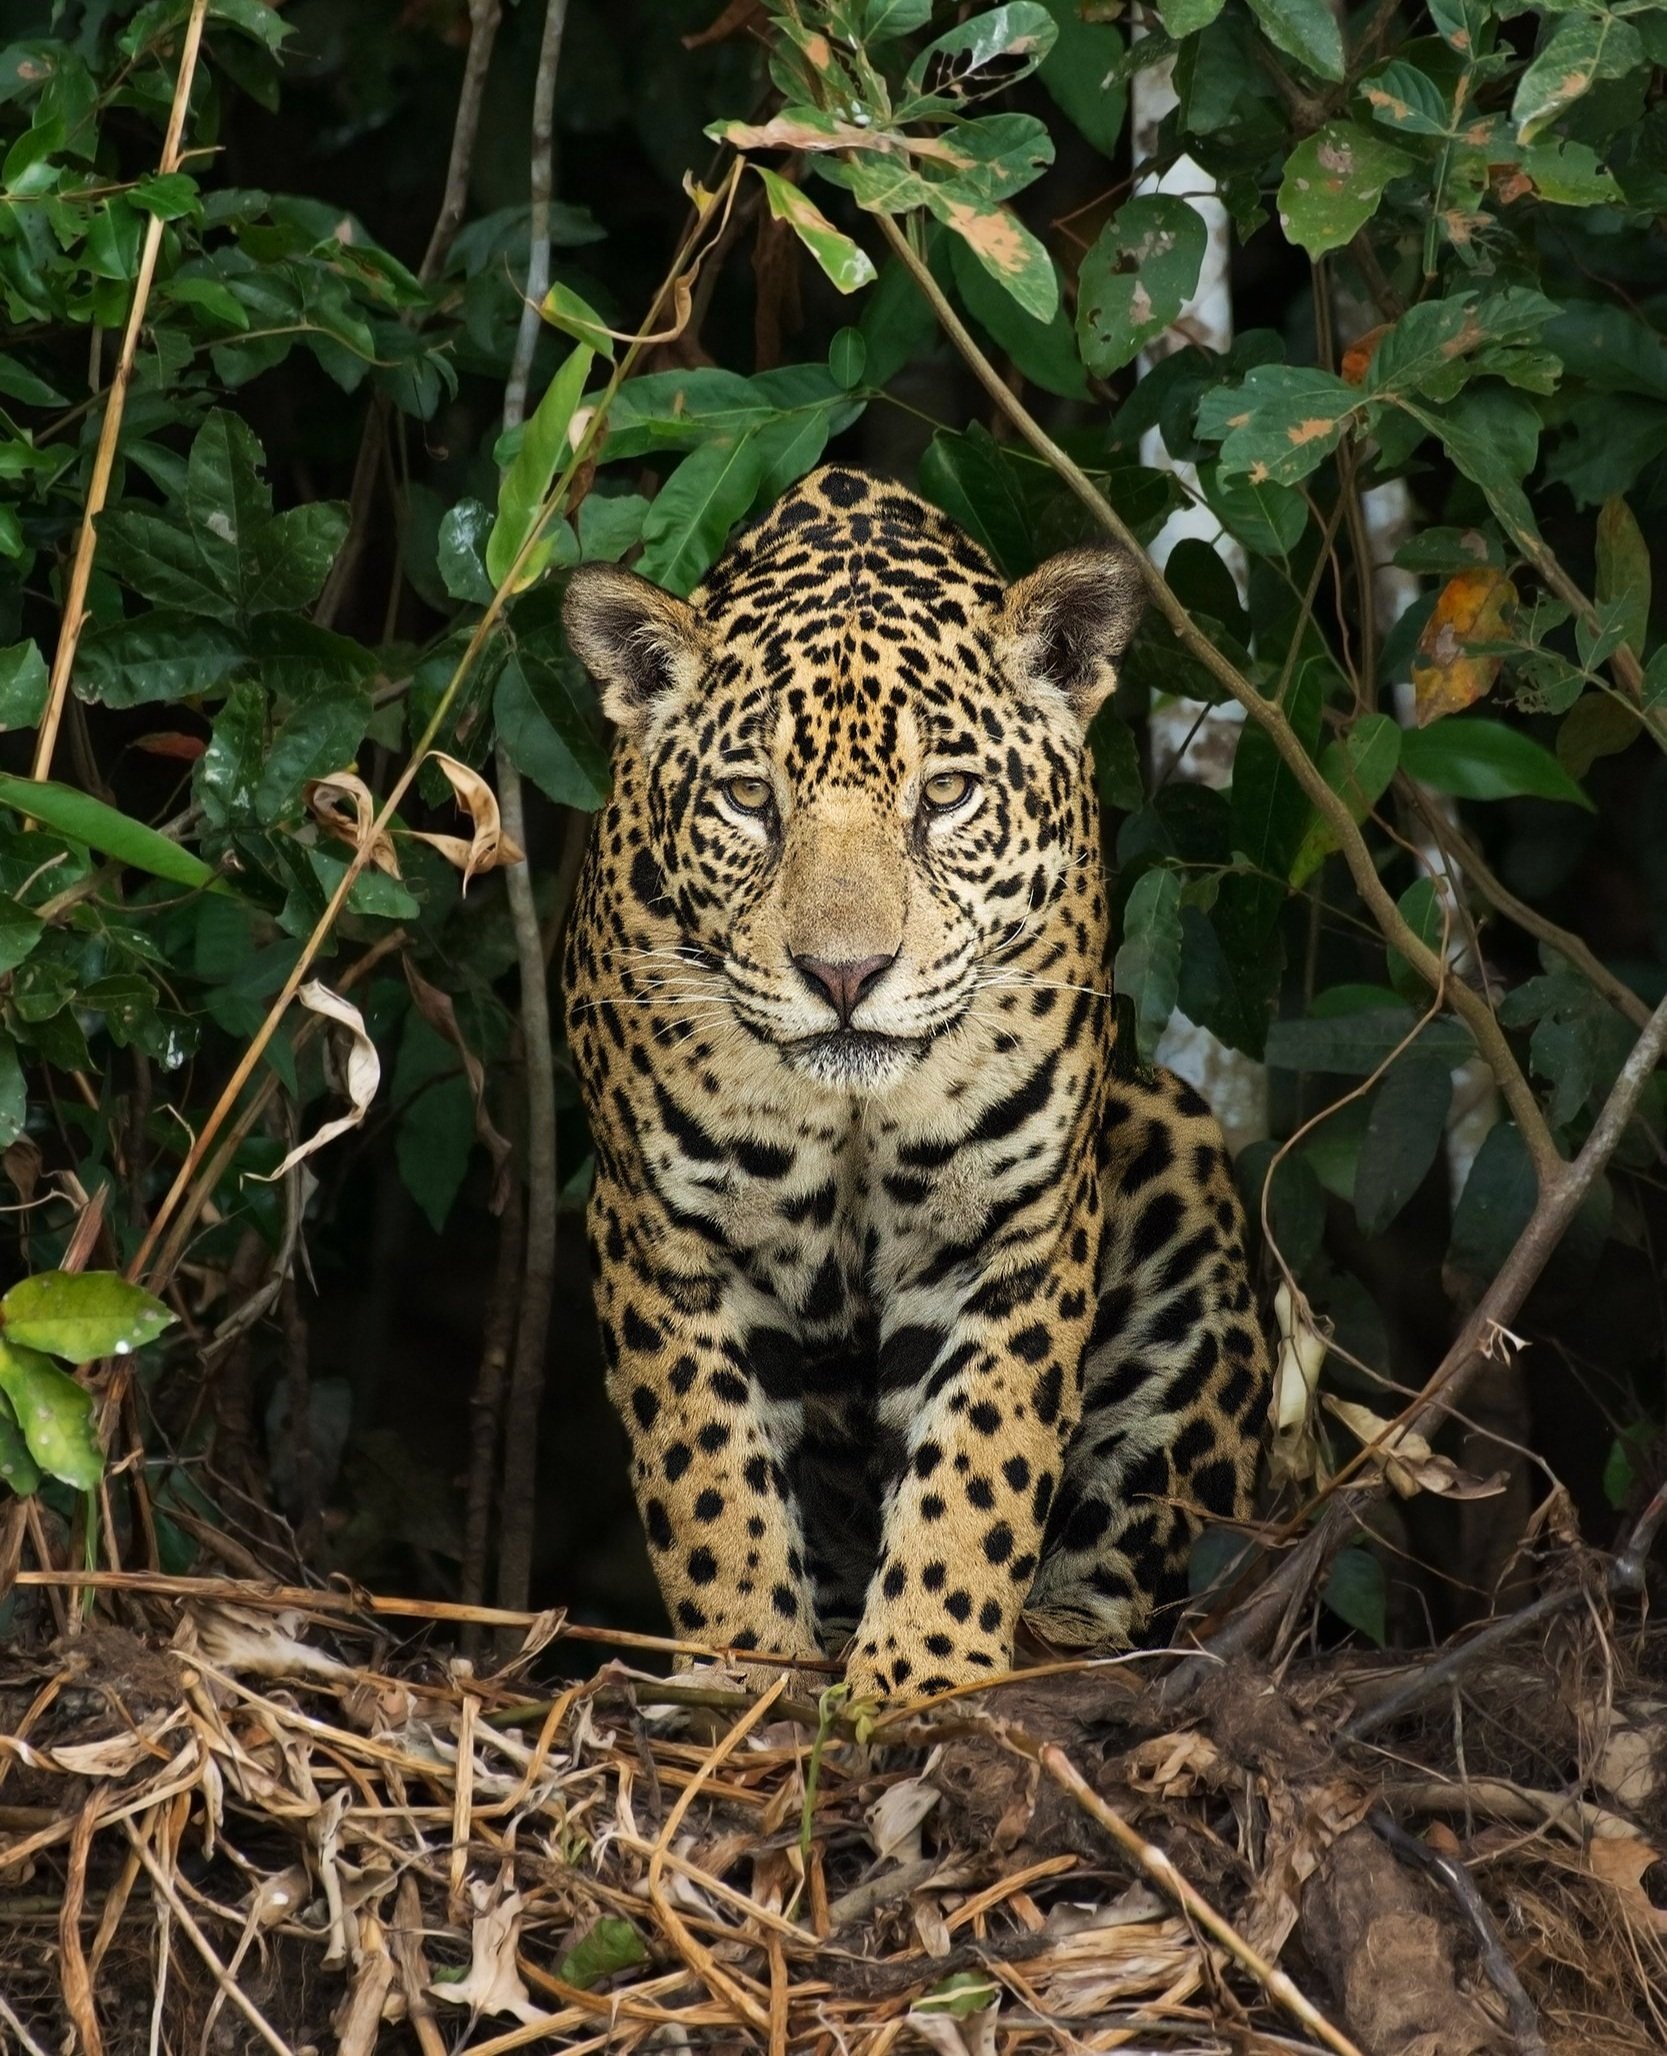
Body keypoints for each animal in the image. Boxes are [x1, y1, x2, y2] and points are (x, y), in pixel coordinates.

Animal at [561, 464, 1270, 1704]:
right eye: (748, 797)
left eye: (944, 794)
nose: (844, 973)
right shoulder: (662, 1235)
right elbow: (707, 1473)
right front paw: (744, 1669)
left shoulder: (1012, 1230)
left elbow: (981, 1460)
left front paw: (925, 1671)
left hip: (1175, 1166)